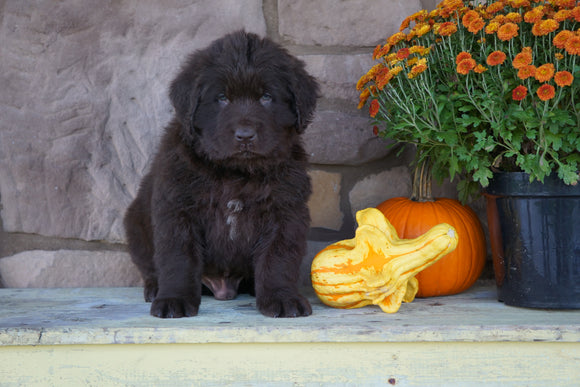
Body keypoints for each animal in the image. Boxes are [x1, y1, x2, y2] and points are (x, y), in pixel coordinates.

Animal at [124, 31, 320, 318]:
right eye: (222, 98)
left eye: (266, 97)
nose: (245, 136)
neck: (236, 172)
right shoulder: (178, 209)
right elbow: (178, 258)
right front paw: (174, 299)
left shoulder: (285, 210)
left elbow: (278, 258)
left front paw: (282, 298)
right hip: (135, 222)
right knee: (150, 265)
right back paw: (154, 288)